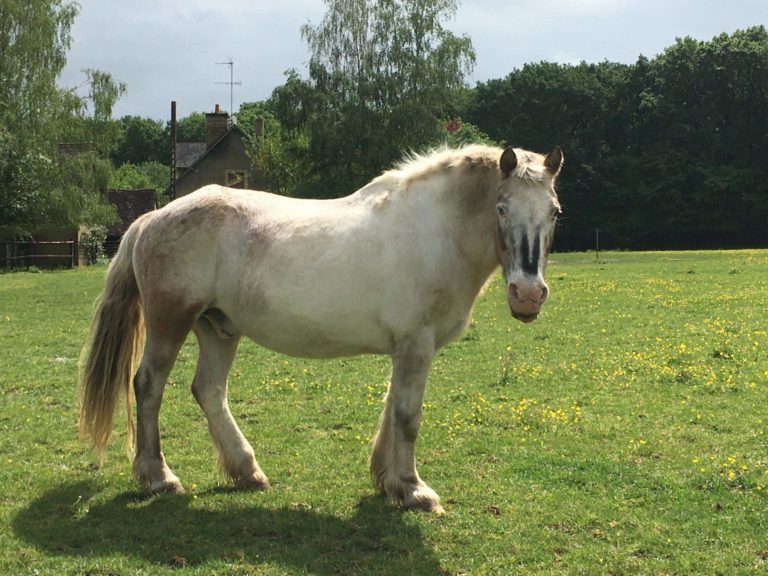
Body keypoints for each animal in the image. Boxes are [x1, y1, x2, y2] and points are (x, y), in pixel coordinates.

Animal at [79, 145, 564, 512]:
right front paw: (413, 489)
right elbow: (408, 416)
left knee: (209, 391)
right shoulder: (416, 345)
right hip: (171, 321)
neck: (435, 230)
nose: (527, 294)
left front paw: (386, 480)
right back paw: (158, 477)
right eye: (501, 208)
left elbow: (391, 408)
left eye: (555, 212)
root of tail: (152, 219)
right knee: (148, 385)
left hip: (218, 329)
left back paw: (246, 471)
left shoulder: (404, 350)